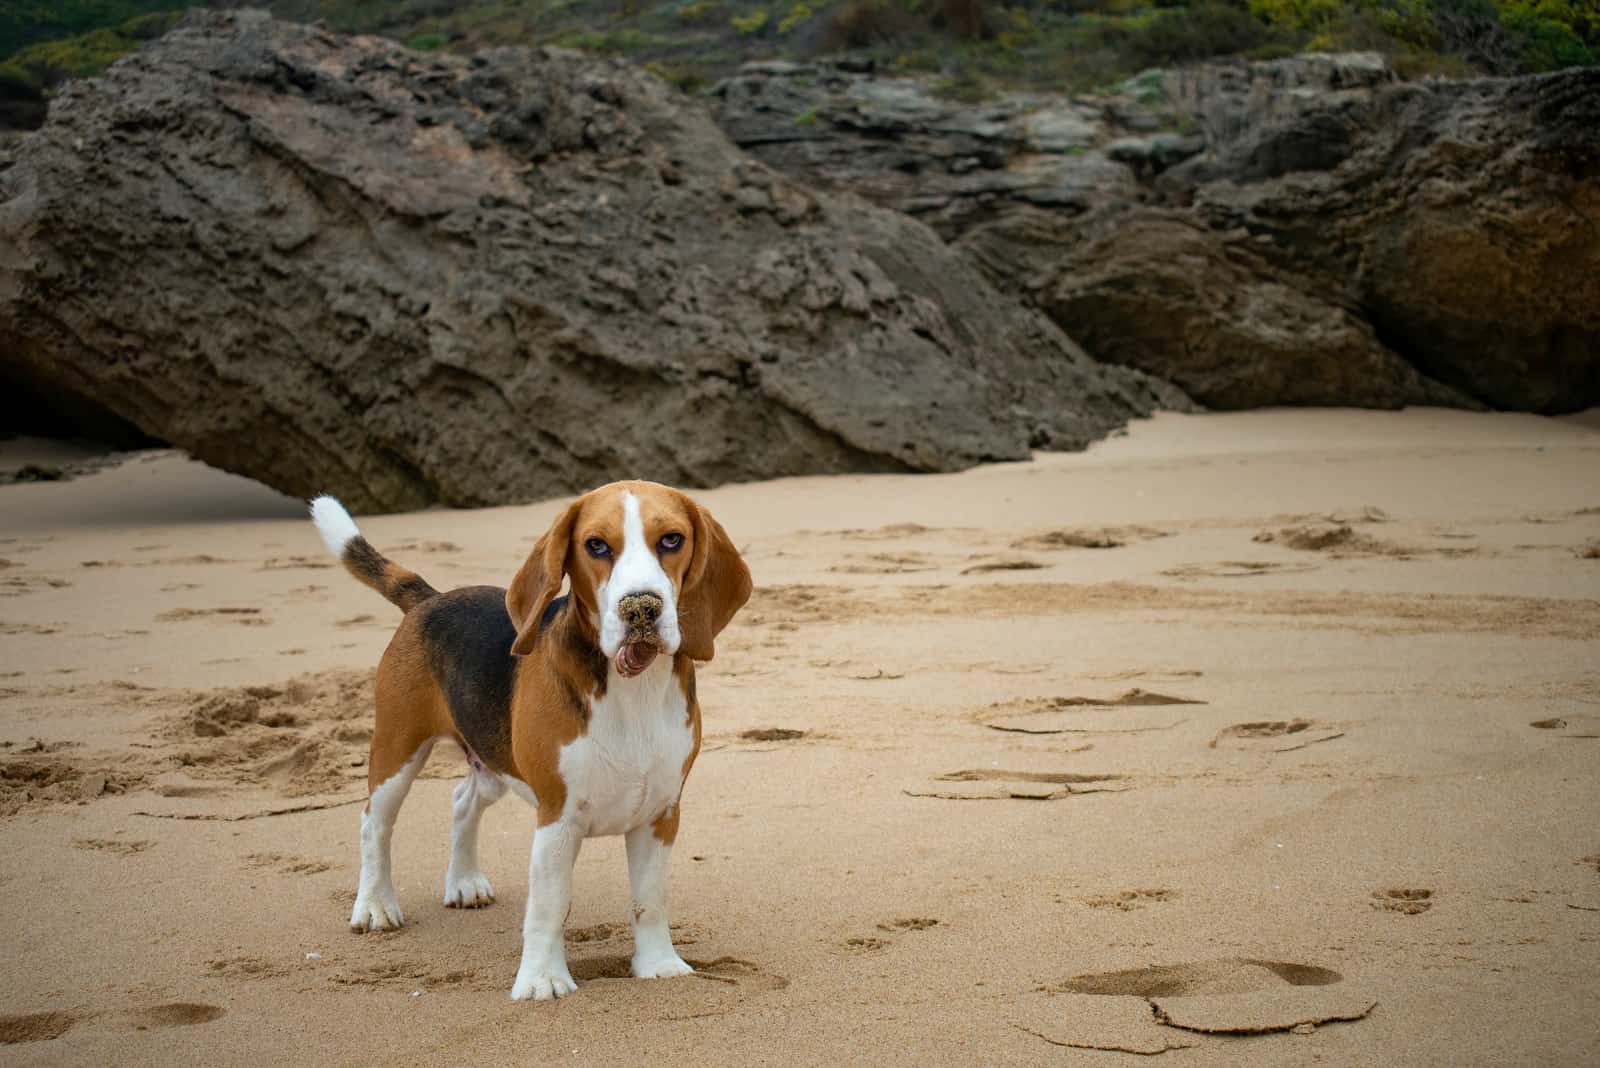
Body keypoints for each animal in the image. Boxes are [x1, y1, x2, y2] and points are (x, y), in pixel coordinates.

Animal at [308, 482, 752, 1004]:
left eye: (672, 540)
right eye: (596, 545)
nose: (640, 607)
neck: (632, 692)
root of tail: (430, 599)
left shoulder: (660, 813)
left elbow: (650, 899)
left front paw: (658, 964)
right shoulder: (556, 817)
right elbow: (549, 906)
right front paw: (542, 980)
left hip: (491, 764)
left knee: (462, 801)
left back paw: (464, 882)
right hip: (397, 749)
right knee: (374, 823)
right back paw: (376, 905)